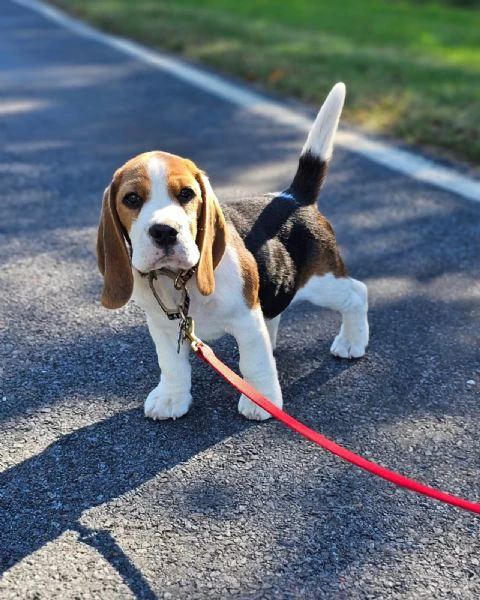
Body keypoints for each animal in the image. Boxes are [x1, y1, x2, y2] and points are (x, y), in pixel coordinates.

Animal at [96, 83, 368, 422]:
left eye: (186, 194)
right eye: (131, 199)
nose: (164, 231)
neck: (180, 280)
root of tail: (293, 197)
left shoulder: (245, 318)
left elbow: (254, 362)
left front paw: (261, 399)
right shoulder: (163, 325)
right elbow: (171, 365)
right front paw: (172, 398)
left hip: (322, 282)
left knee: (357, 292)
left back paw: (352, 341)